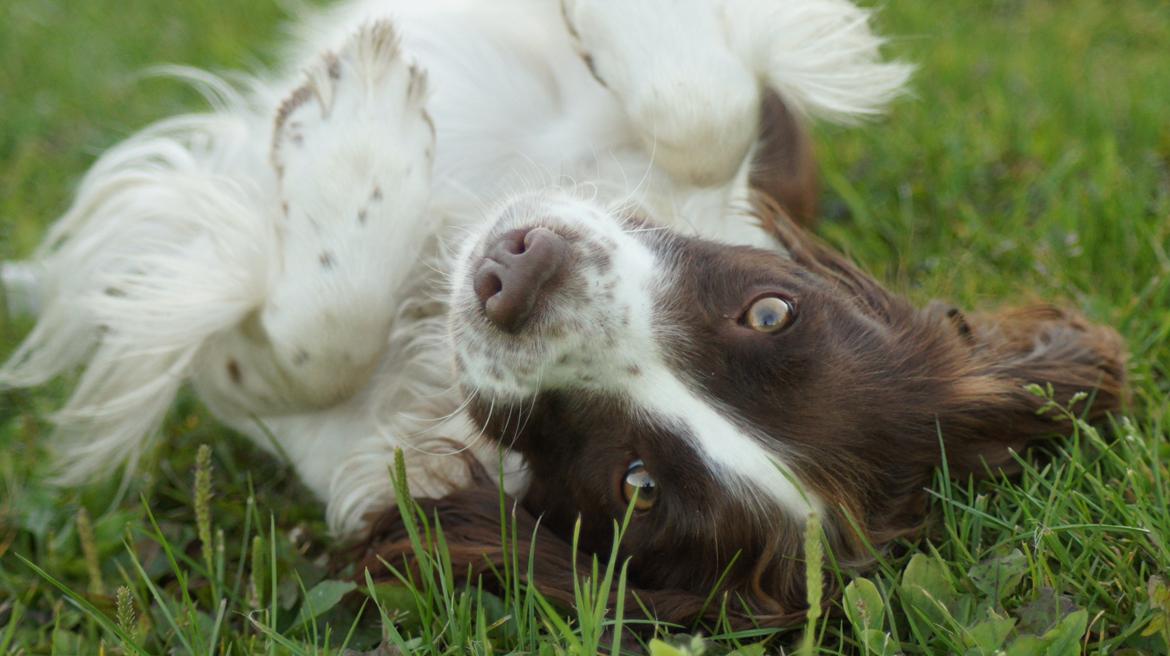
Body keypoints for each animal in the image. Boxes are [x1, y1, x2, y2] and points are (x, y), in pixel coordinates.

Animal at [0, 0, 1123, 622]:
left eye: (637, 485)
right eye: (771, 313)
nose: (516, 275)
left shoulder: (305, 427)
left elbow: (305, 343)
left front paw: (354, 139)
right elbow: (709, 110)